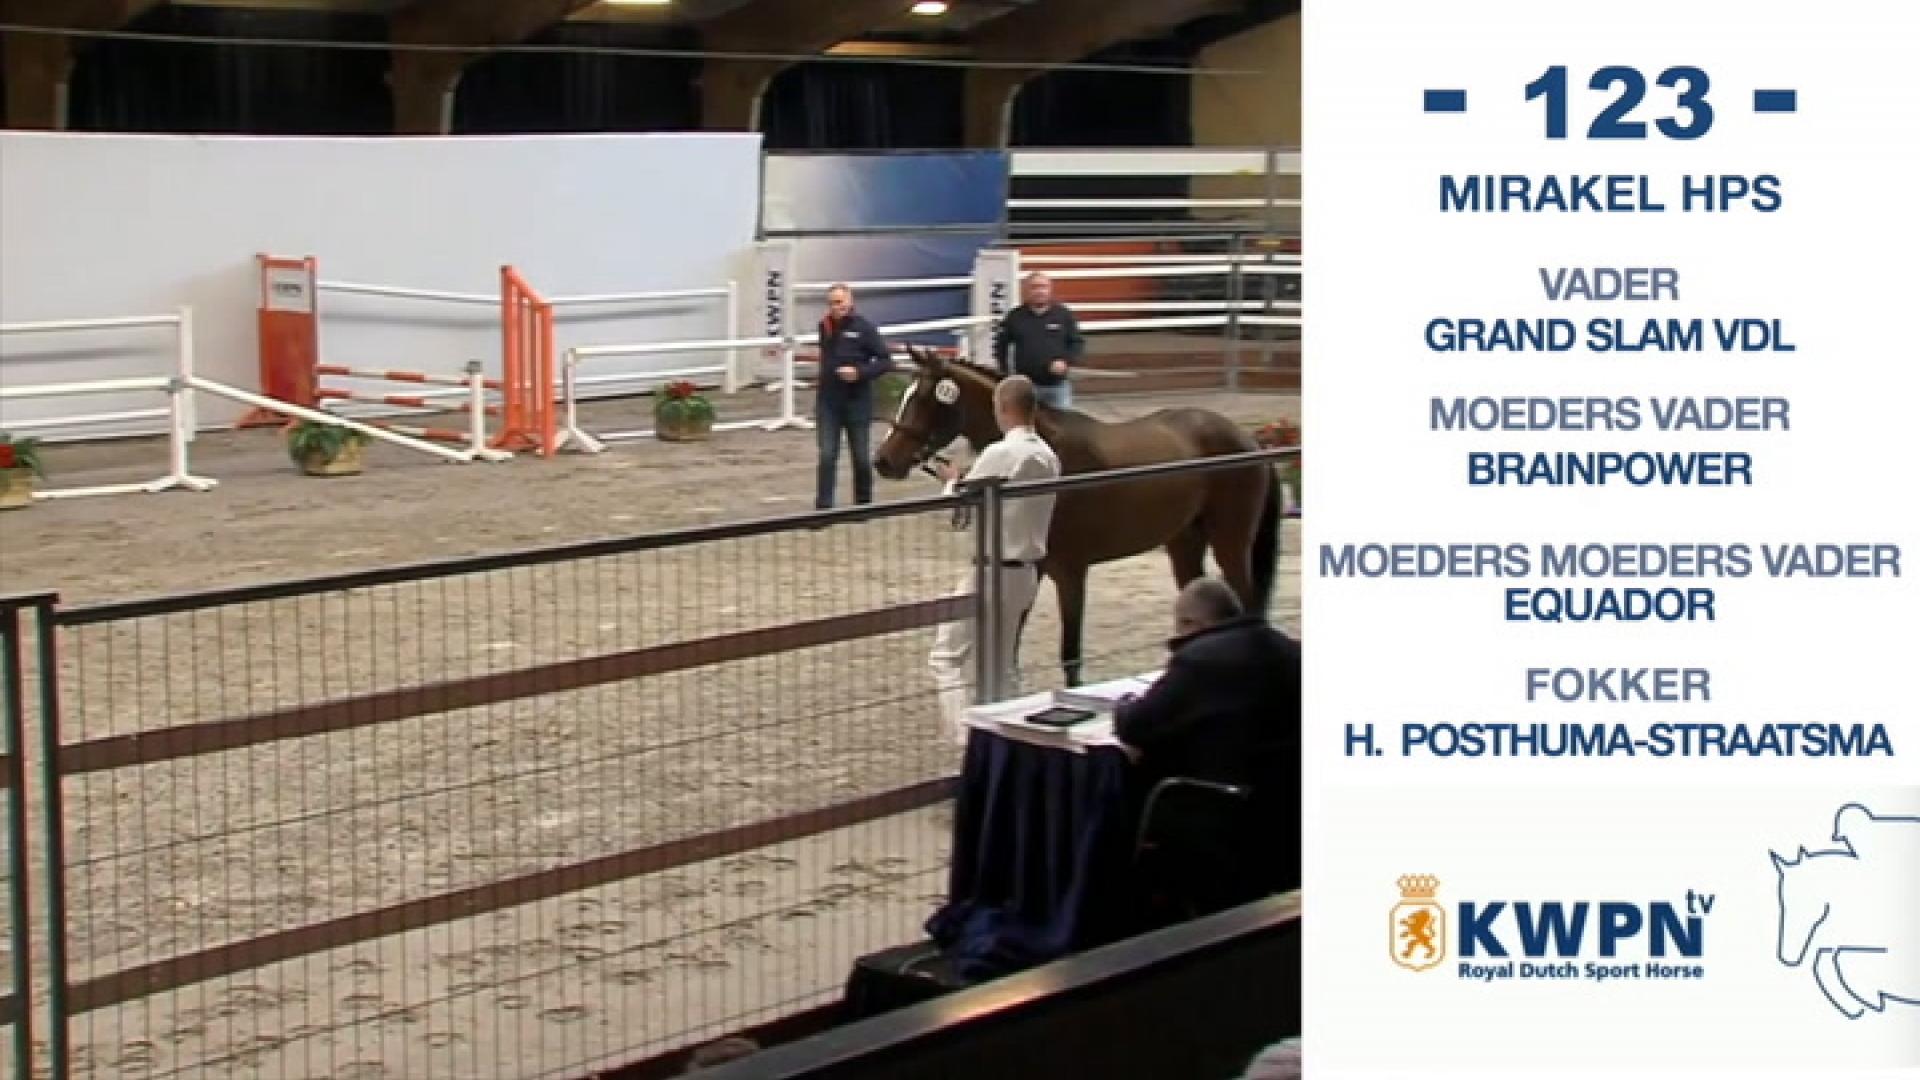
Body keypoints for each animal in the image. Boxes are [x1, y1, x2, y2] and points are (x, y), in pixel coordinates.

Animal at [873, 346, 1281, 687]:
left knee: (1247, 599)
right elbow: (1014, 643)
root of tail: (1248, 440)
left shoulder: (1071, 571)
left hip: (1230, 542)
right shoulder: (1032, 568)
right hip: (1183, 543)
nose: (883, 461)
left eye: (924, 398)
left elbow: (1070, 654)